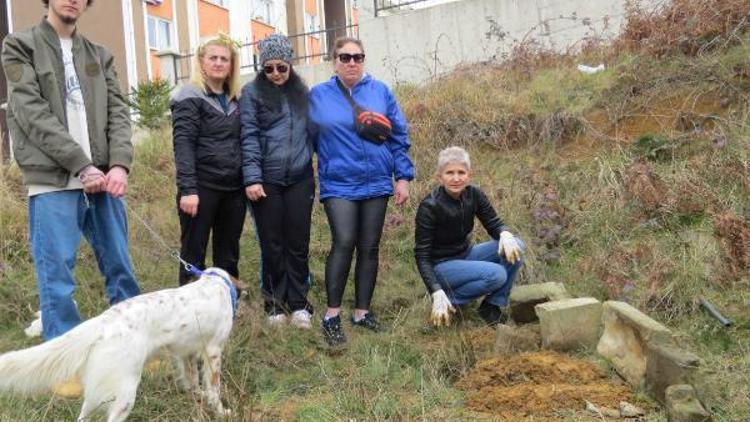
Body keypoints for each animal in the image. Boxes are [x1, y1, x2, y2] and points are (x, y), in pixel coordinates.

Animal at [0, 268, 238, 420]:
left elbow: (192, 380)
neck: (215, 283)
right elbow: (214, 388)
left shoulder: (185, 352)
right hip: (125, 395)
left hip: (96, 393)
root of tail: (104, 321)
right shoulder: (214, 351)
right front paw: (221, 411)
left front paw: (197, 396)